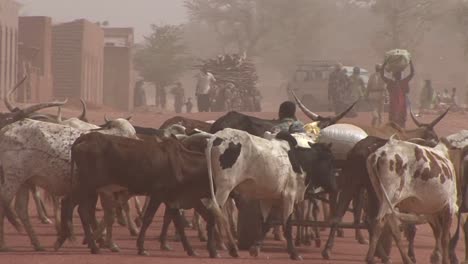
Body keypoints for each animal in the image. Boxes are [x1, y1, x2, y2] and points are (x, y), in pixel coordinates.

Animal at [204, 128, 336, 260]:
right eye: (329, 162)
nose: (334, 186)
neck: (299, 159)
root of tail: (218, 136)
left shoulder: (267, 198)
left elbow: (266, 224)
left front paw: (255, 248)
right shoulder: (289, 196)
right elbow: (287, 225)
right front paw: (294, 253)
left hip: (216, 186)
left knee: (214, 211)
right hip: (225, 187)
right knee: (214, 211)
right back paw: (217, 250)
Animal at [366, 136, 458, 264]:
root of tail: (380, 153)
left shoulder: (432, 212)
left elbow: (438, 234)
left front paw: (436, 257)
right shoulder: (449, 206)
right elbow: (445, 238)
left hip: (383, 196)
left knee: (393, 229)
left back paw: (406, 259)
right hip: (390, 195)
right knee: (379, 222)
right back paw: (371, 258)